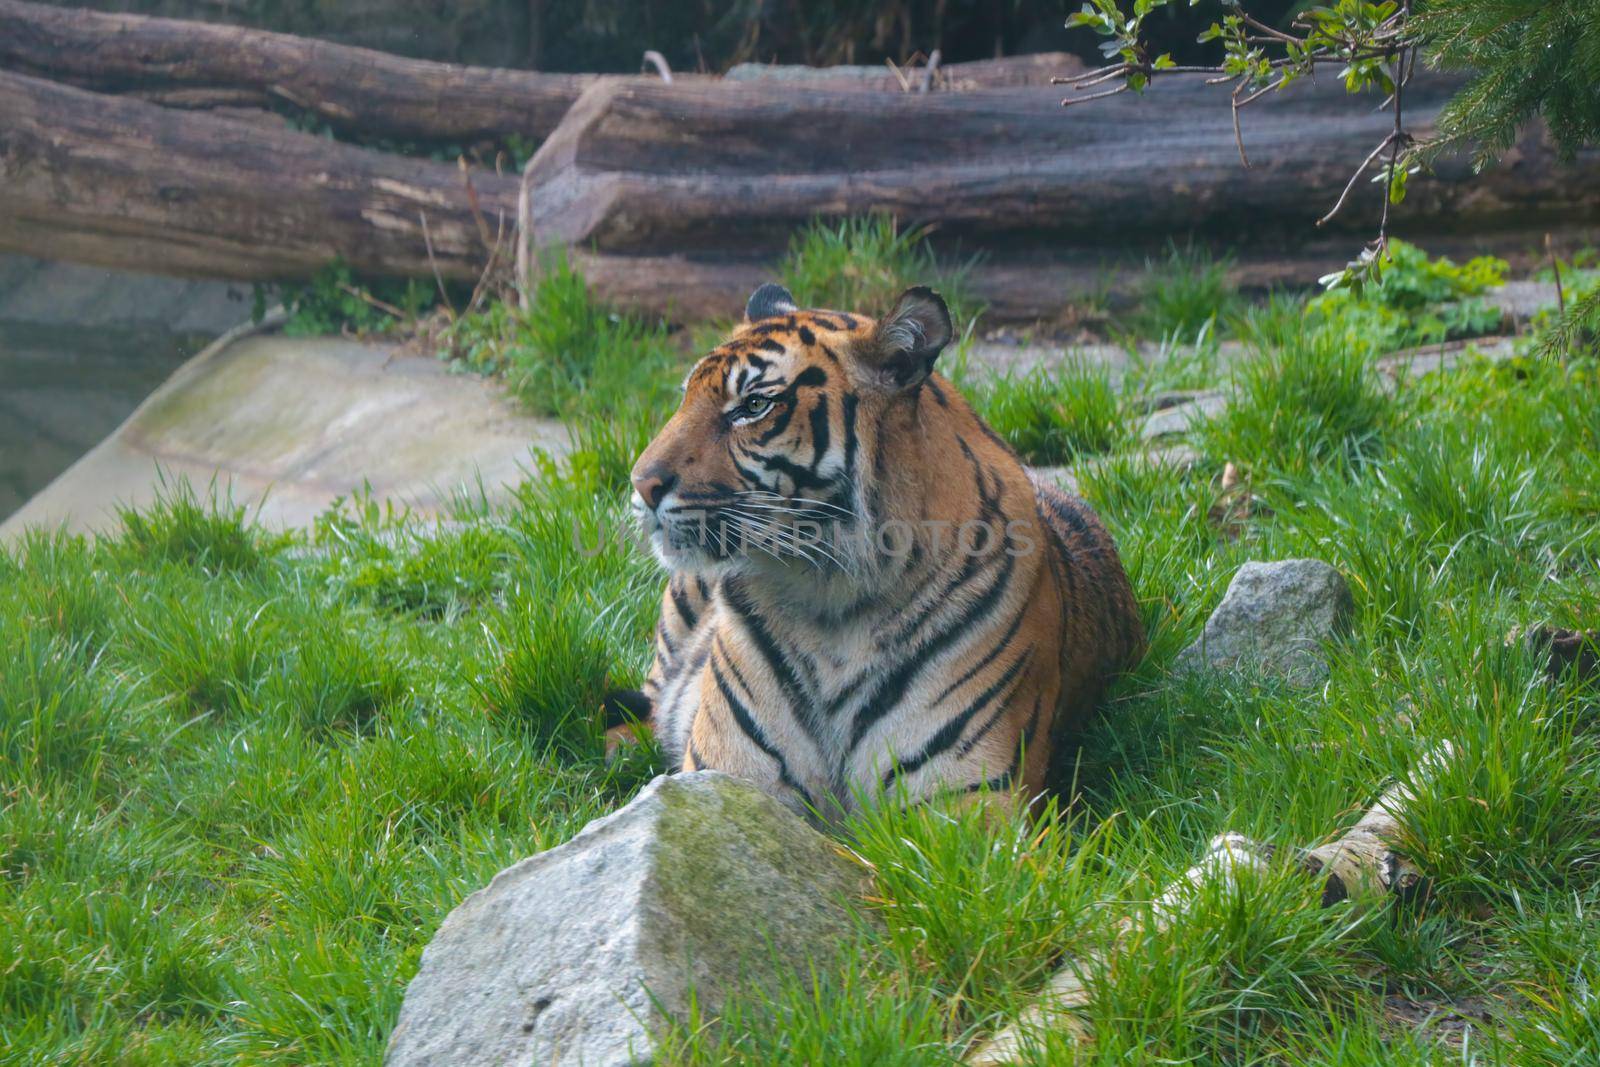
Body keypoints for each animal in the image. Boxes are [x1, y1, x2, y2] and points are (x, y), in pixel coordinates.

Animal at [604, 283, 1145, 819]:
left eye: (754, 405)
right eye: (685, 398)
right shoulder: (722, 777)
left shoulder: (971, 798)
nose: (640, 484)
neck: (827, 595)